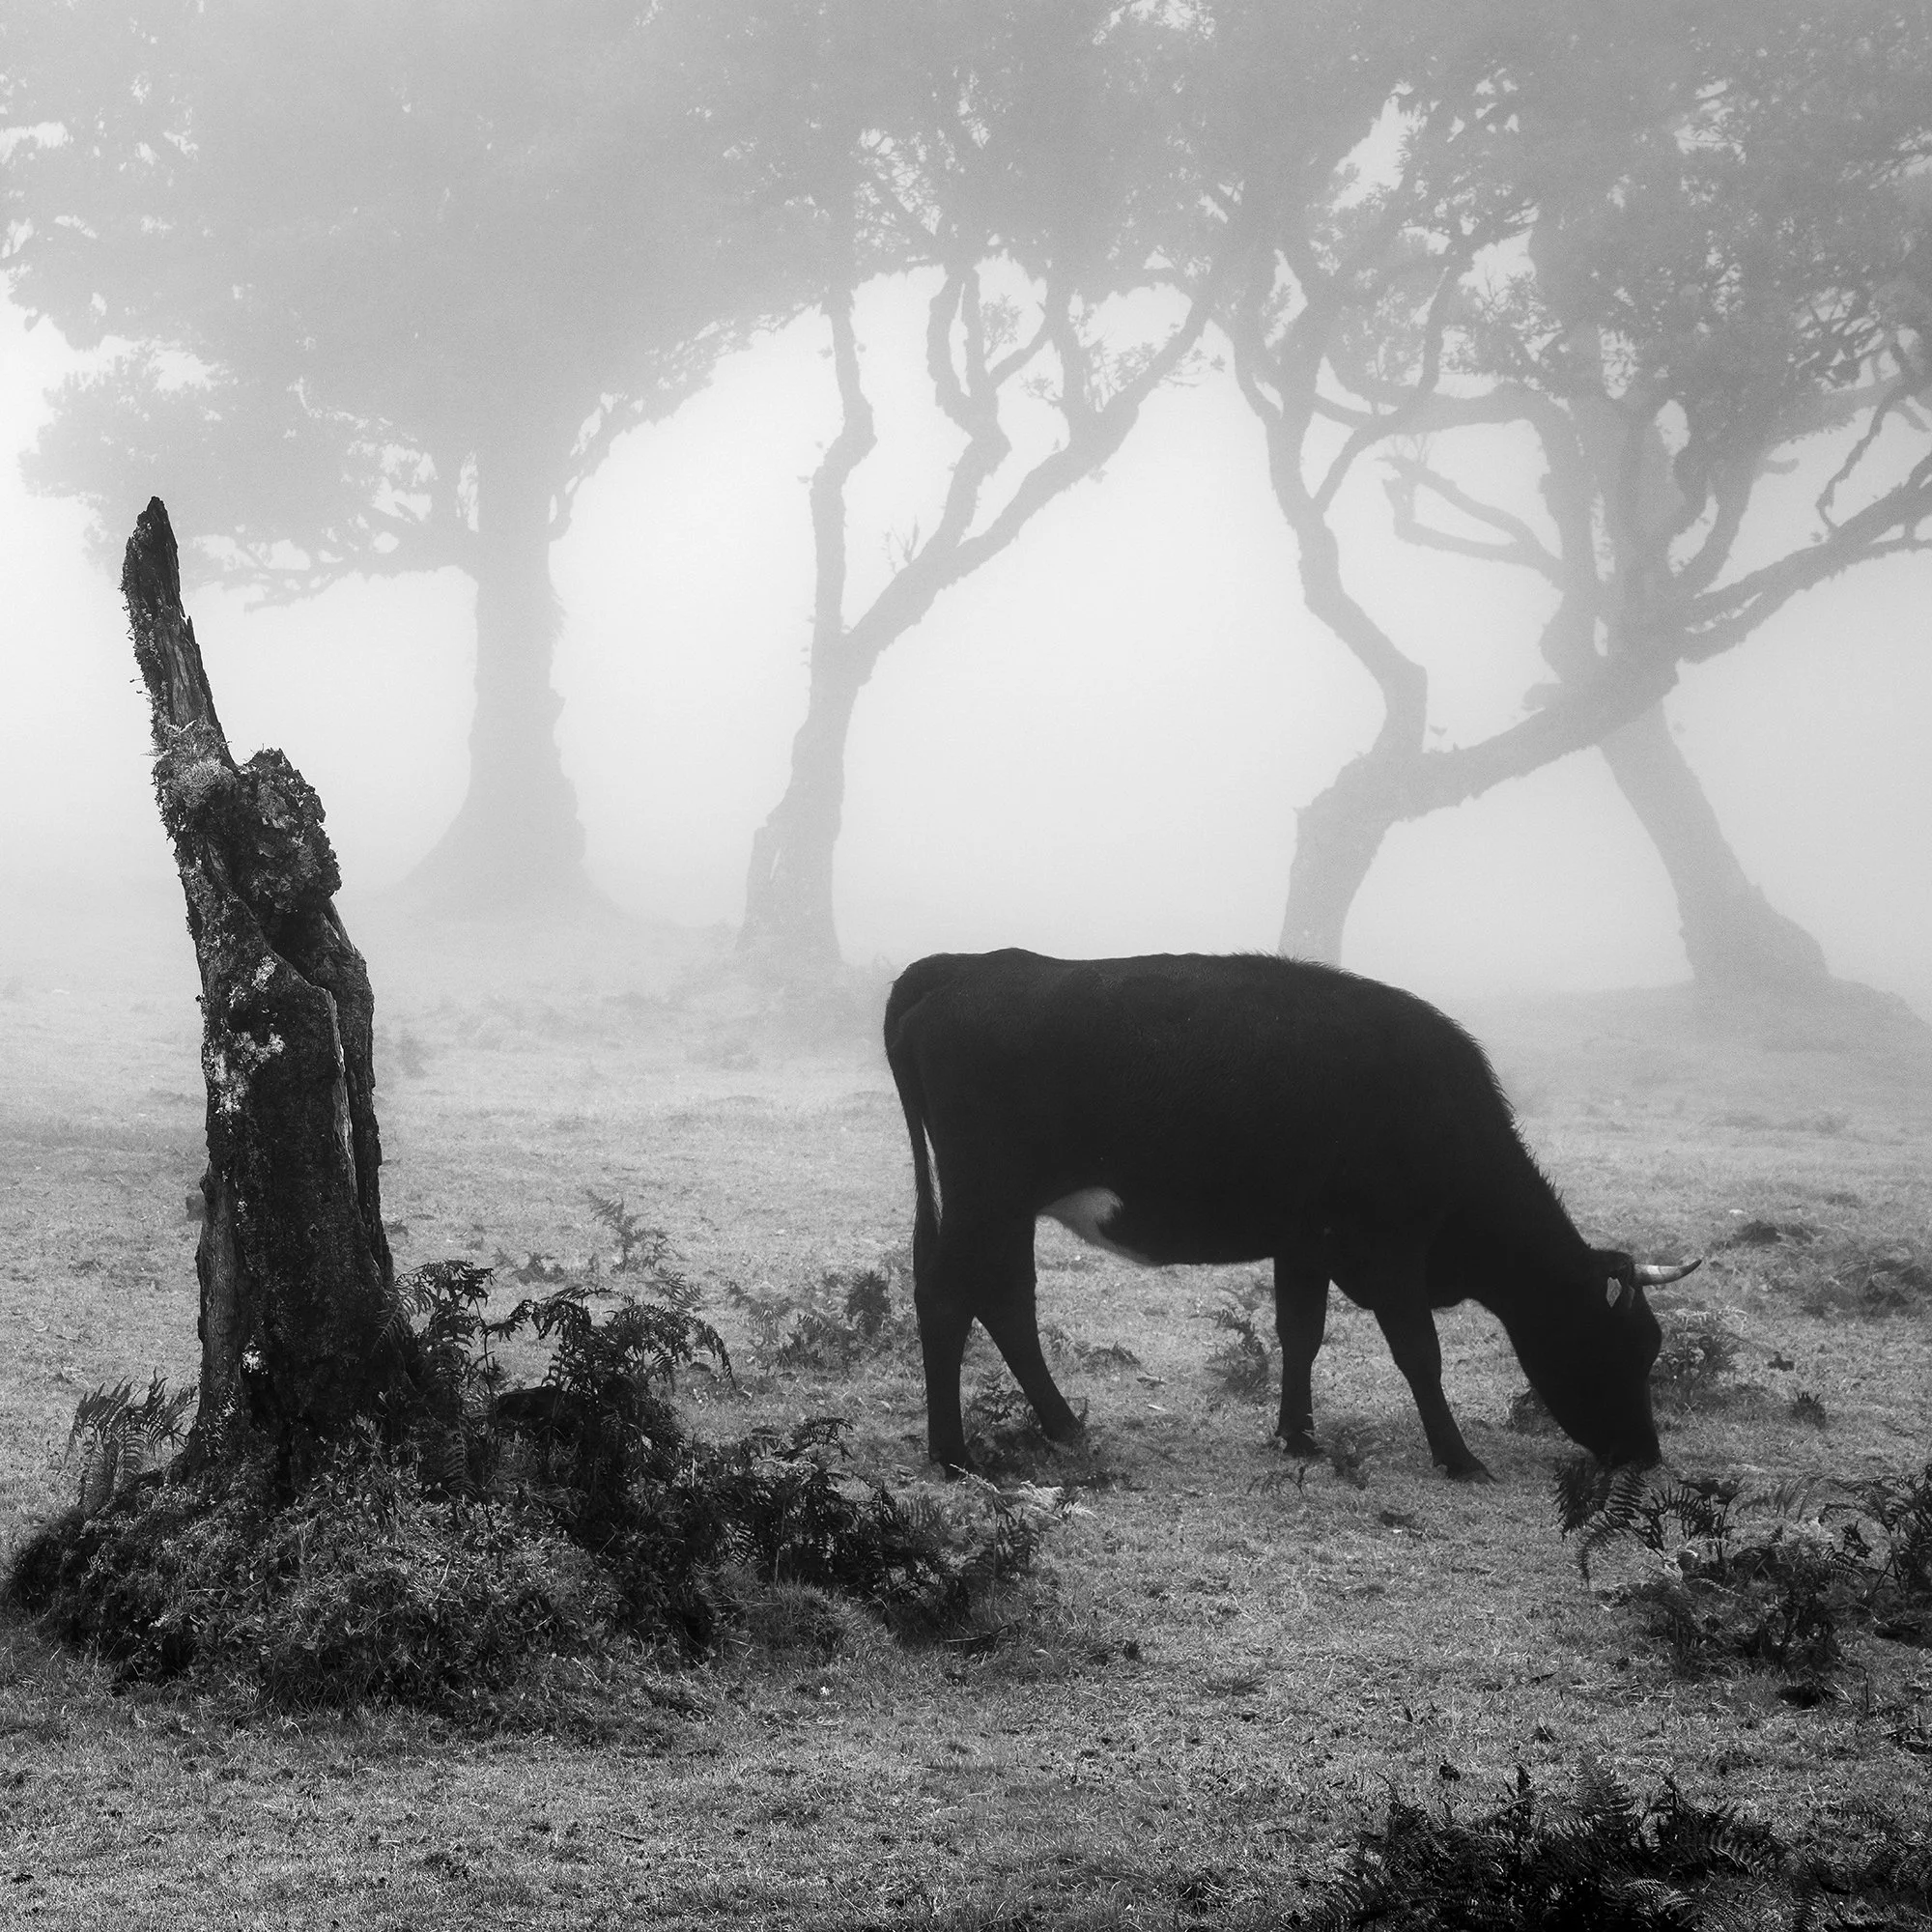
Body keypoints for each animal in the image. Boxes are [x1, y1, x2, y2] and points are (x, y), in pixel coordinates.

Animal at [882, 949, 1699, 1478]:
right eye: (1626, 1346)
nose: (1644, 1454)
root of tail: (964, 965)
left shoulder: (1305, 1244)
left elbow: (1300, 1335)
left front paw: (1297, 1436)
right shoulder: (1390, 1251)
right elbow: (1420, 1353)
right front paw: (1459, 1457)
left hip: (1000, 1206)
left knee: (1003, 1302)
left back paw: (1062, 1426)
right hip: (987, 1196)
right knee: (953, 1298)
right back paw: (953, 1454)